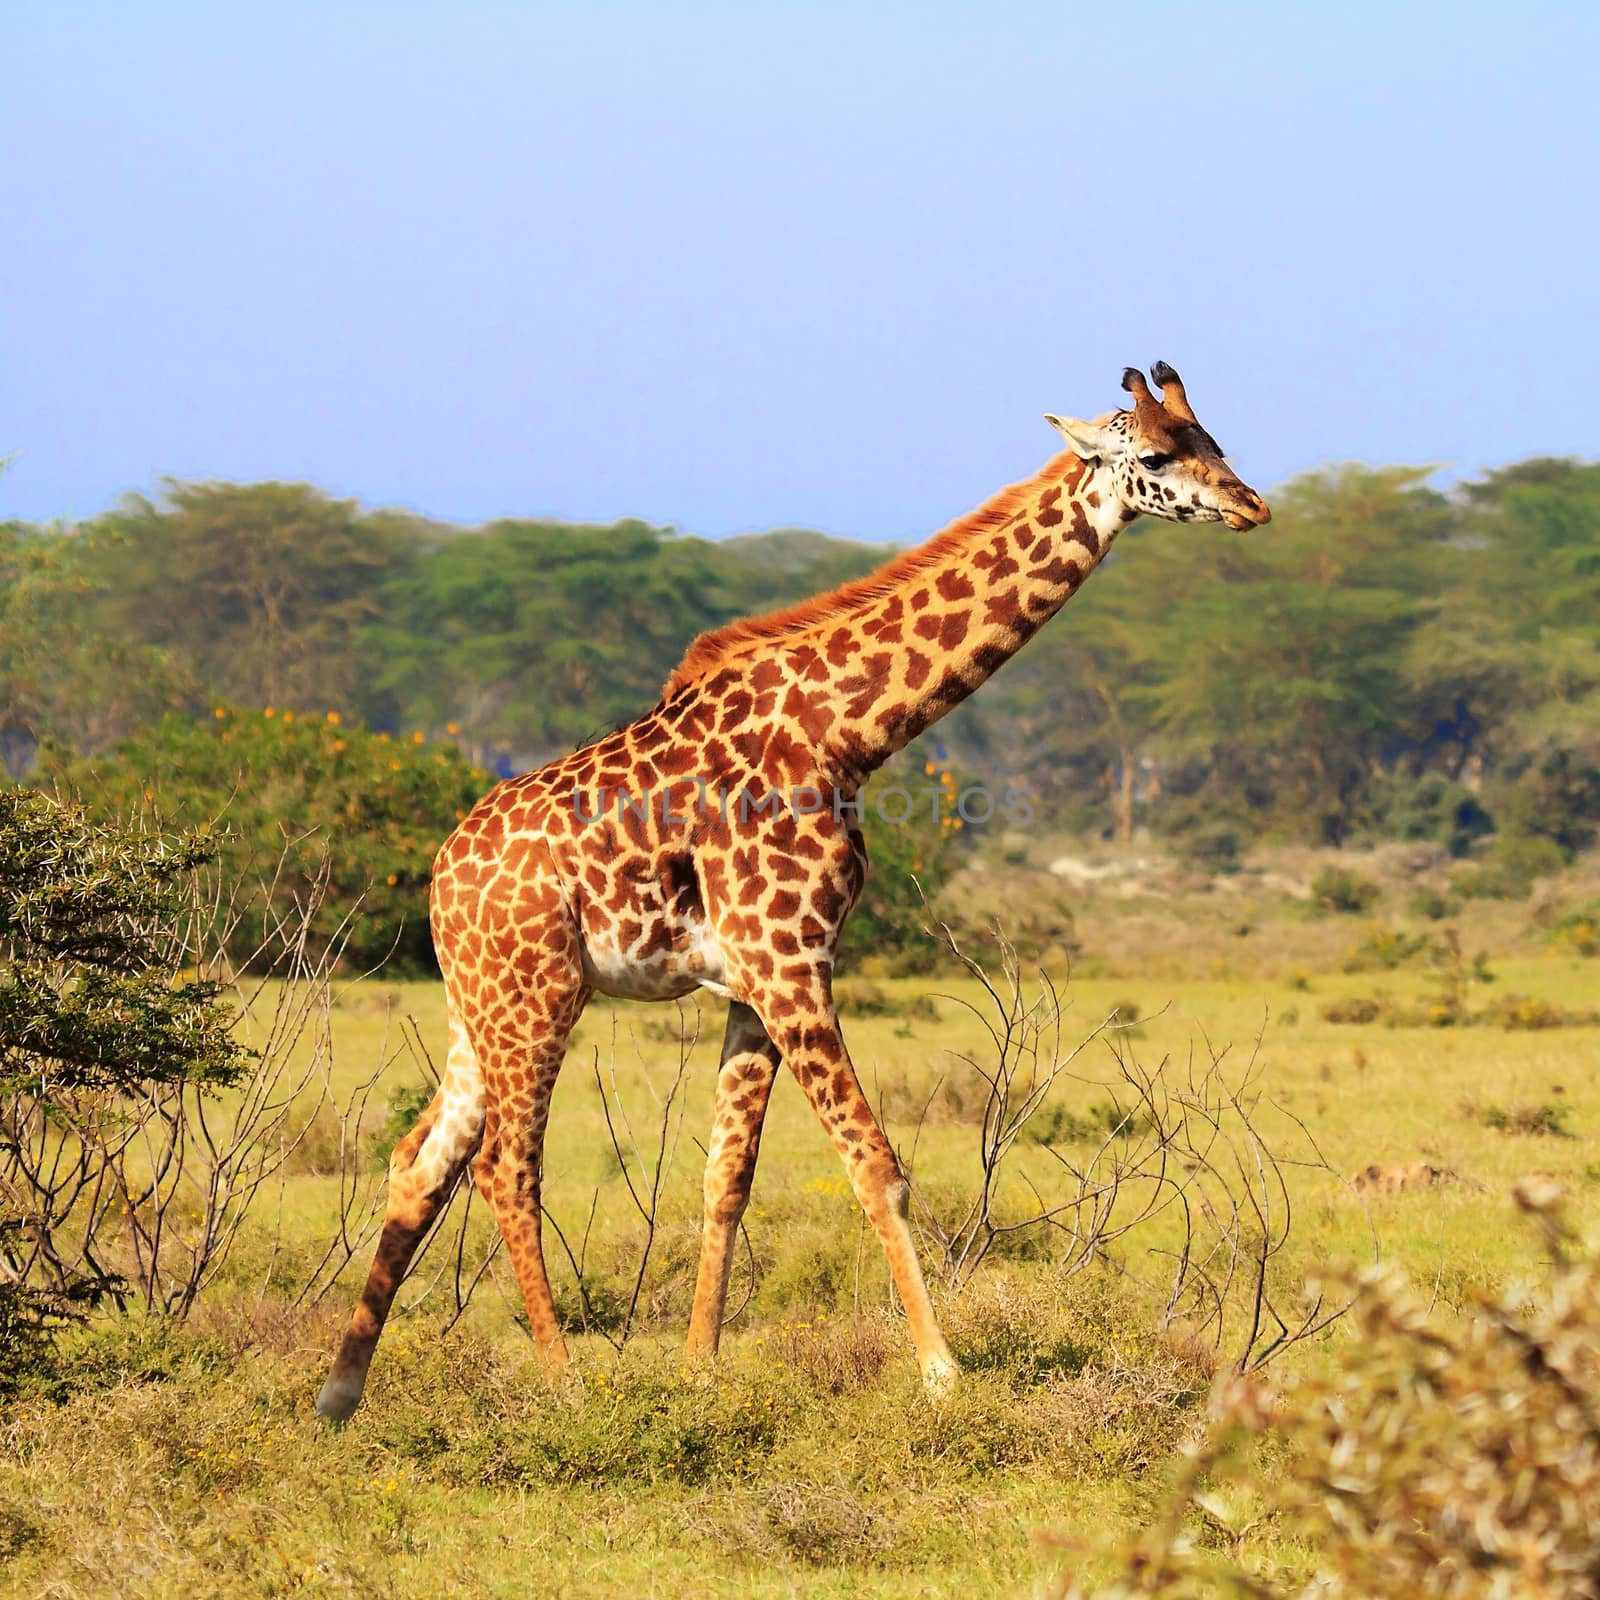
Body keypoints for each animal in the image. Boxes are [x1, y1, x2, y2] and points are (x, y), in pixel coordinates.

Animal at [318, 366, 1267, 1427]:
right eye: (1155, 454)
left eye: (1214, 439)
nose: (1250, 506)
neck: (849, 732)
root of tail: (442, 873)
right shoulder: (788, 962)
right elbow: (876, 1166)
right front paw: (942, 1373)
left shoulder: (758, 980)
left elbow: (725, 1176)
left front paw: (699, 1371)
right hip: (539, 995)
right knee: (504, 1168)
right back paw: (564, 1387)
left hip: (475, 1006)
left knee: (420, 1163)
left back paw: (340, 1393)